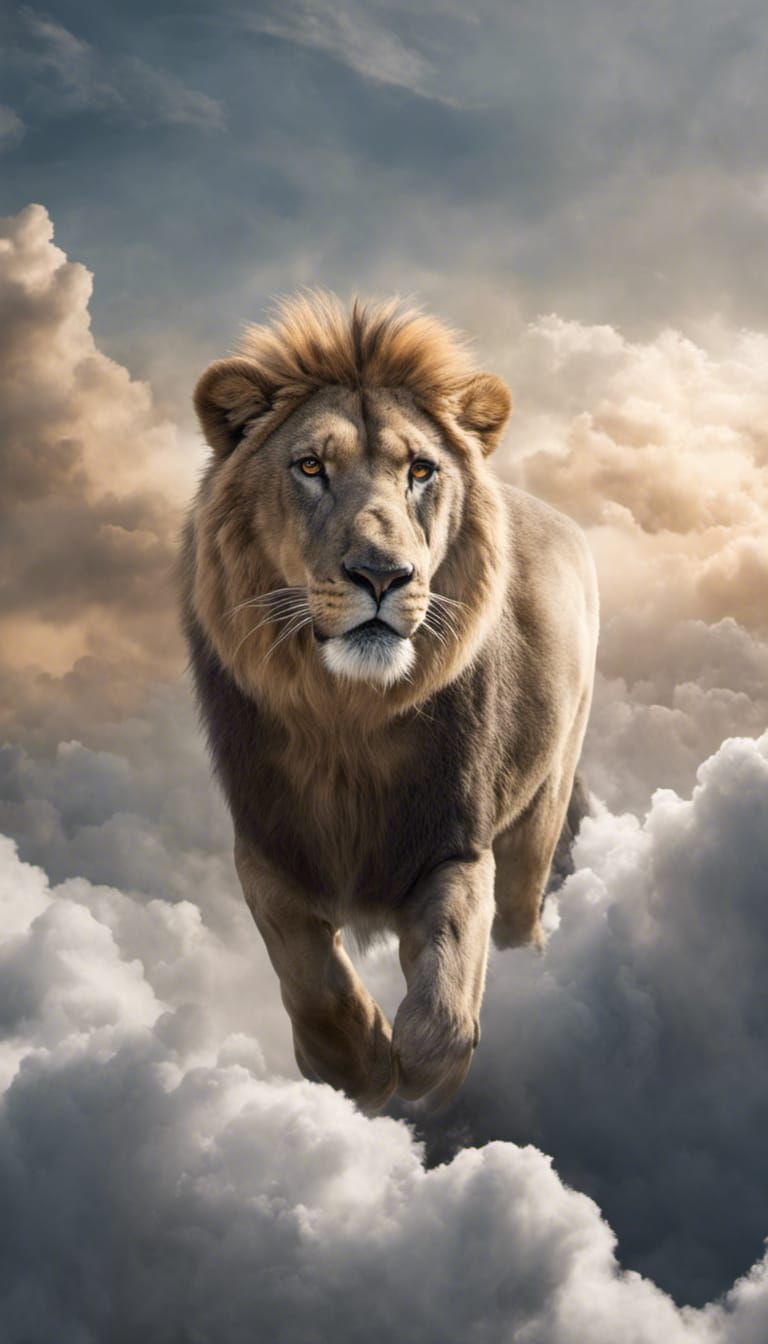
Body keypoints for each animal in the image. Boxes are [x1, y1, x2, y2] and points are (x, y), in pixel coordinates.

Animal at [180, 292, 598, 1111]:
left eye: (421, 470)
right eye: (310, 466)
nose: (382, 574)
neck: (347, 716)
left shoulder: (455, 846)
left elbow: (446, 996)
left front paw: (425, 1077)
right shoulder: (266, 848)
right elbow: (310, 977)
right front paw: (356, 1065)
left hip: (543, 801)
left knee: (519, 918)